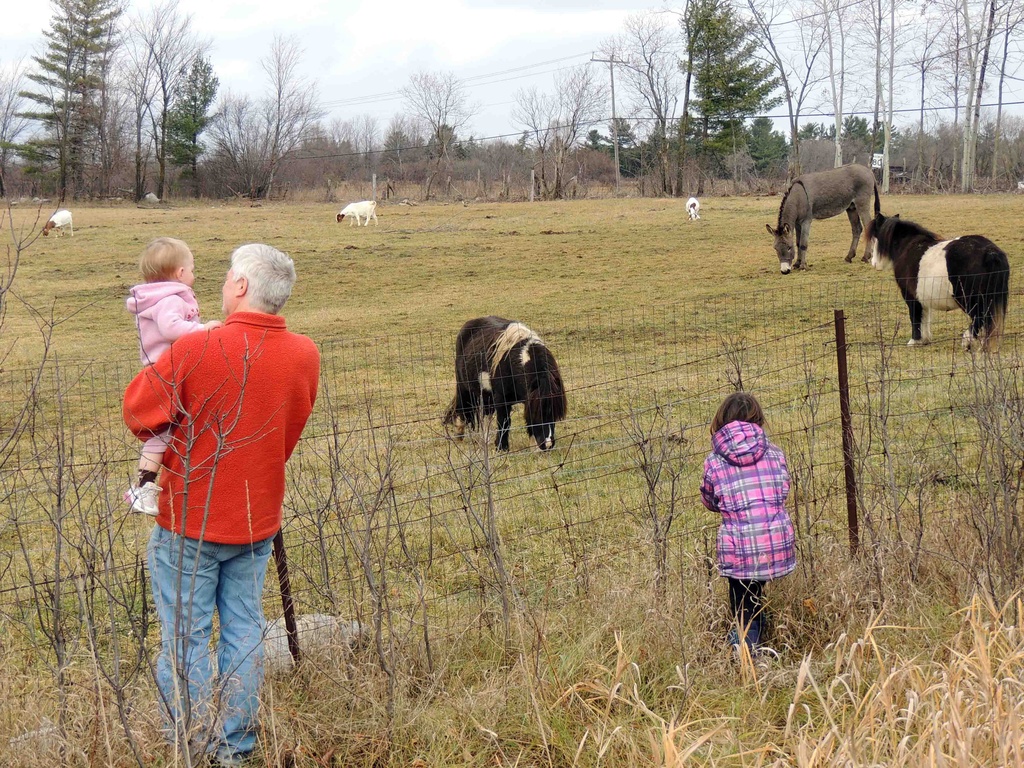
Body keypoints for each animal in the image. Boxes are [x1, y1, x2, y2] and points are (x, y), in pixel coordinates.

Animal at [440, 317, 569, 454]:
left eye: (555, 414)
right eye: (538, 413)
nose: (547, 445)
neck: (513, 363)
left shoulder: (527, 398)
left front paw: (533, 447)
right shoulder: (501, 398)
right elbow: (504, 421)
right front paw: (502, 448)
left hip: (486, 394)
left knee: (486, 414)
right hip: (464, 386)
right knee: (463, 405)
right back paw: (460, 432)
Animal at [868, 211, 1011, 354]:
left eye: (875, 237)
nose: (873, 263)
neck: (907, 247)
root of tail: (990, 253)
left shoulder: (911, 297)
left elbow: (915, 317)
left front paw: (914, 341)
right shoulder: (922, 298)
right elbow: (924, 317)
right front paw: (924, 339)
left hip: (971, 300)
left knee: (980, 318)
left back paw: (967, 342)